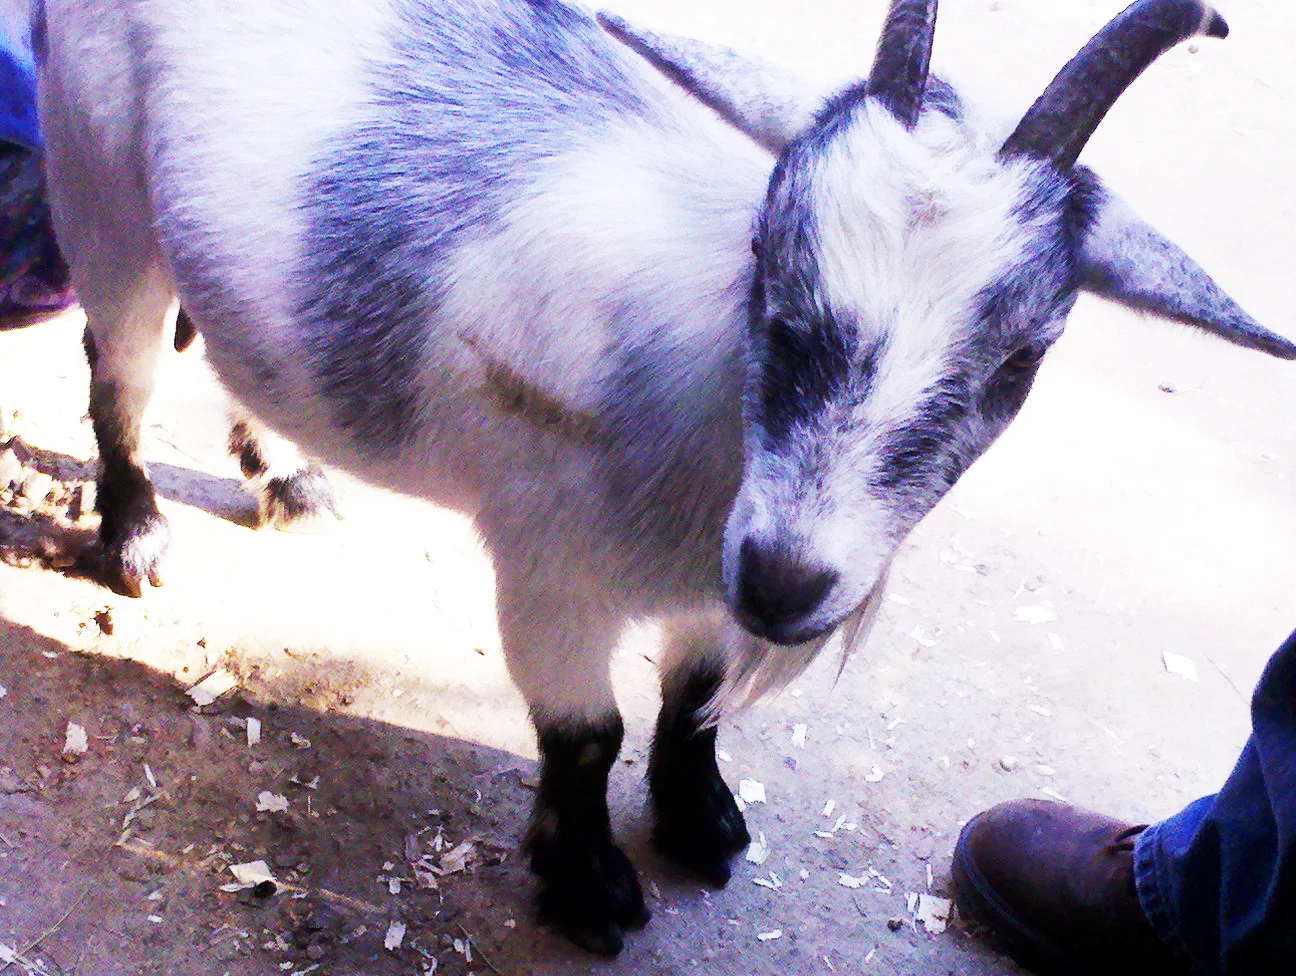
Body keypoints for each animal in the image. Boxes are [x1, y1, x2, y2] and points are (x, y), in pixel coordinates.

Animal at [36, 0, 1295, 954]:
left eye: (1027, 353)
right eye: (766, 248)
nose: (787, 578)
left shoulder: (712, 580)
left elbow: (691, 699)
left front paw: (702, 821)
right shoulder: (545, 568)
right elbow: (586, 733)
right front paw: (590, 888)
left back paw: (291, 474)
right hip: (100, 192)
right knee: (118, 370)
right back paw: (135, 535)